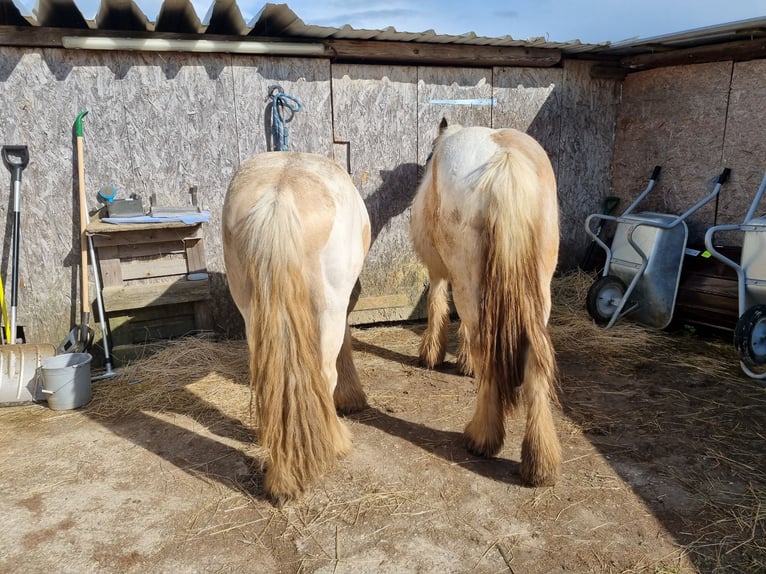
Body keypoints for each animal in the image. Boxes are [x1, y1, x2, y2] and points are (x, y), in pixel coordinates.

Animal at [414, 119, 564, 488]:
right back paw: (540, 462)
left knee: (486, 347)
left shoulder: (438, 269)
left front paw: (433, 354)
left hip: (470, 281)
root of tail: (505, 161)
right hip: (539, 289)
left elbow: (437, 302)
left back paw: (482, 437)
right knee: (536, 359)